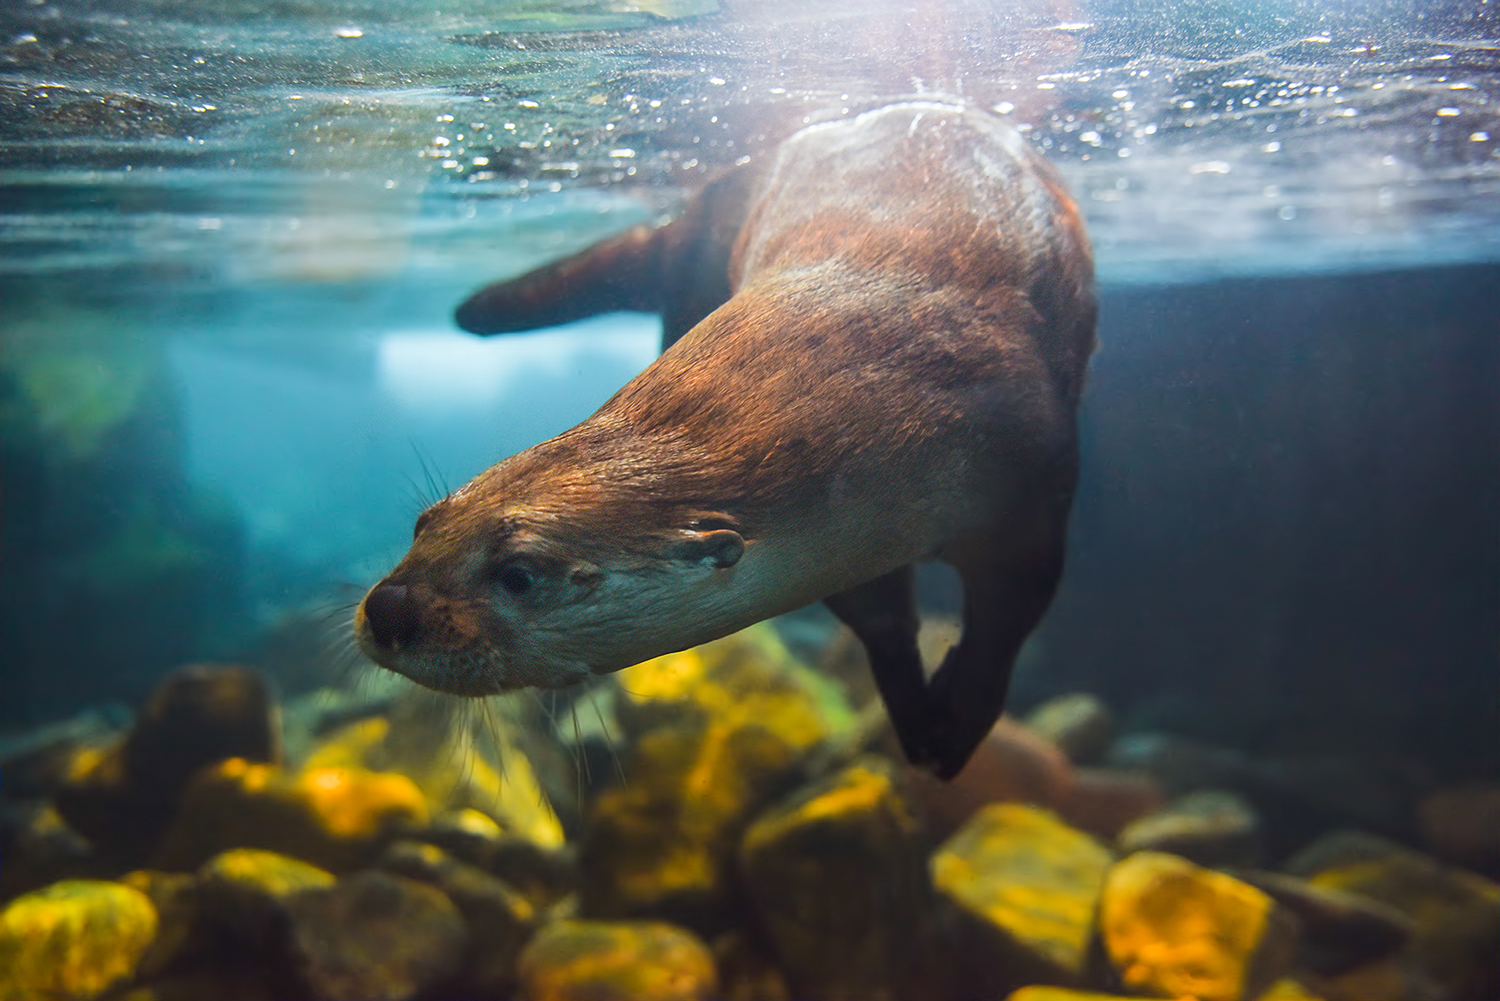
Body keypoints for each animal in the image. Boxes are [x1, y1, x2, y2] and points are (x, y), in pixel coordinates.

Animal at [356, 102, 1096, 779]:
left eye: (519, 574)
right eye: (424, 523)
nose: (389, 608)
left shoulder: (1032, 486)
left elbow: (1010, 614)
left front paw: (955, 723)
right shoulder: (854, 545)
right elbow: (880, 617)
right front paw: (915, 715)